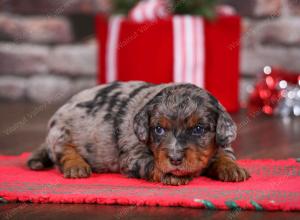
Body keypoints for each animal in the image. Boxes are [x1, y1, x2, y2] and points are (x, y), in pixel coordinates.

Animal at [28, 81, 250, 185]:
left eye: (198, 129)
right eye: (158, 129)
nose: (175, 159)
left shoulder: (223, 143)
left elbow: (224, 156)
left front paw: (232, 168)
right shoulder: (133, 156)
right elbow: (153, 164)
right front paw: (172, 175)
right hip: (60, 132)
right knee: (63, 151)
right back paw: (76, 166)